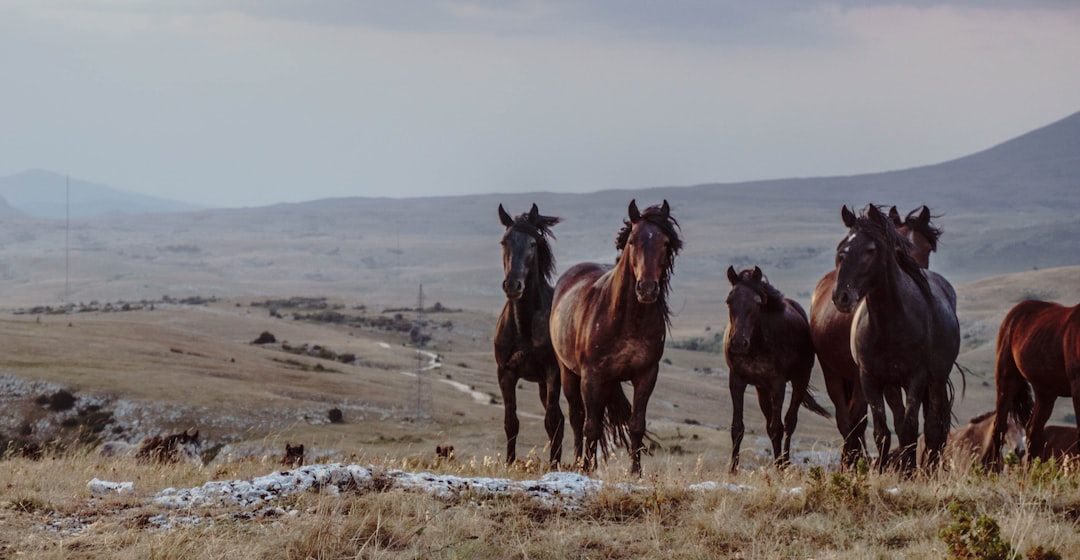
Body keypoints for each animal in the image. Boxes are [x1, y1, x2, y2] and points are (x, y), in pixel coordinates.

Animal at [494, 203, 565, 466]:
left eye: (533, 243)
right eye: (504, 241)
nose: (513, 285)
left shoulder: (553, 373)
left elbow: (551, 421)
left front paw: (554, 467)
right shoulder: (506, 373)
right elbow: (511, 422)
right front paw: (509, 463)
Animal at [550, 199, 681, 474]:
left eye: (666, 243)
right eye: (632, 240)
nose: (647, 288)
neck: (626, 320)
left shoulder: (646, 375)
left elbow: (637, 424)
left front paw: (636, 472)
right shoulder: (591, 376)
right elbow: (590, 426)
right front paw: (586, 469)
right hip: (569, 373)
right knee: (577, 418)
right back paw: (578, 461)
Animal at [724, 265, 831, 472]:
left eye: (757, 302)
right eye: (729, 300)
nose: (739, 343)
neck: (757, 344)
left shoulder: (778, 384)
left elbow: (777, 427)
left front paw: (780, 468)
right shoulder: (737, 382)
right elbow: (737, 427)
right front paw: (732, 470)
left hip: (799, 380)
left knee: (789, 423)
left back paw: (785, 463)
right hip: (762, 389)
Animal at [983, 299, 1080, 469]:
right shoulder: (1077, 388)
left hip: (1045, 393)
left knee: (1032, 431)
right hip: (1006, 380)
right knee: (999, 428)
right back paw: (993, 470)